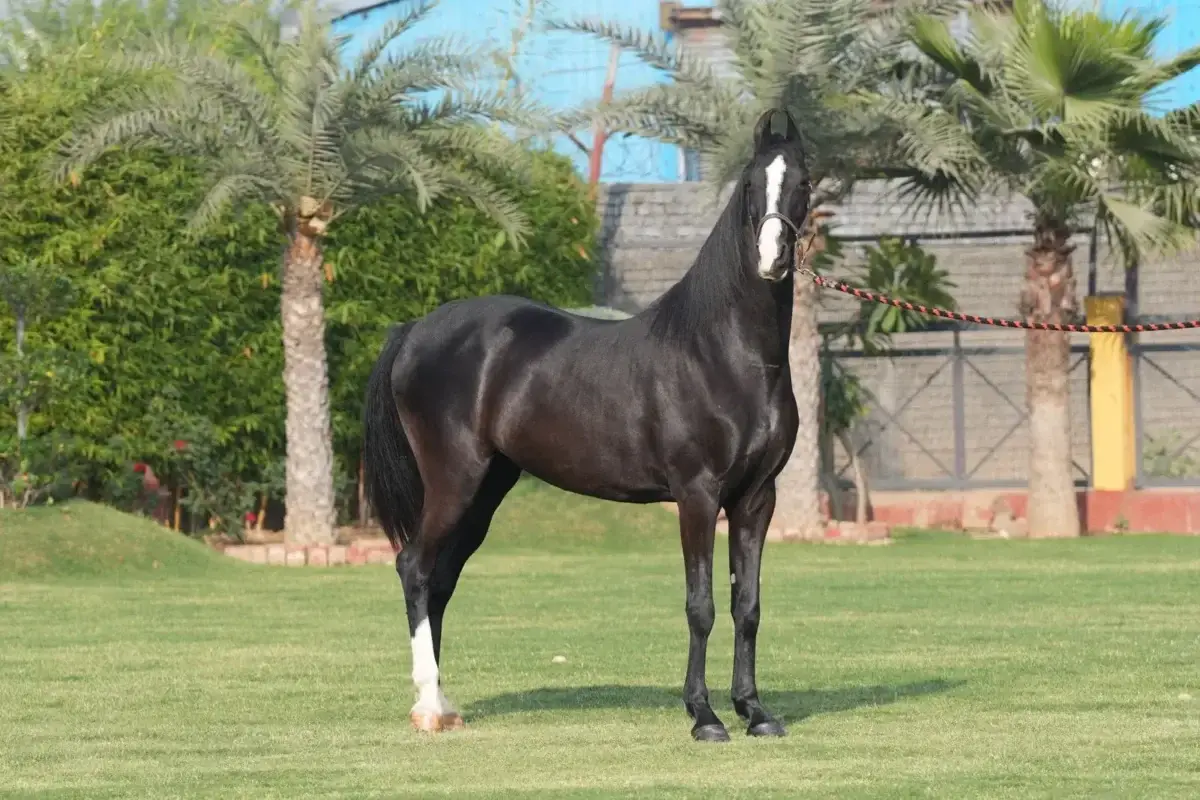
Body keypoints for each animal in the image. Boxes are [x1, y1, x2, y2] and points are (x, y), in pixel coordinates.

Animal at [363, 108, 812, 743]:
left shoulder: (756, 499)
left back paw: (444, 704)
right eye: (750, 184)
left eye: (803, 182)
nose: (771, 258)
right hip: (454, 481)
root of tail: (414, 330)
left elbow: (746, 606)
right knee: (415, 568)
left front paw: (754, 711)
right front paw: (703, 716)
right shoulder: (697, 494)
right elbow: (700, 605)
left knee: (440, 579)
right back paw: (428, 706)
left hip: (487, 490)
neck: (724, 353)